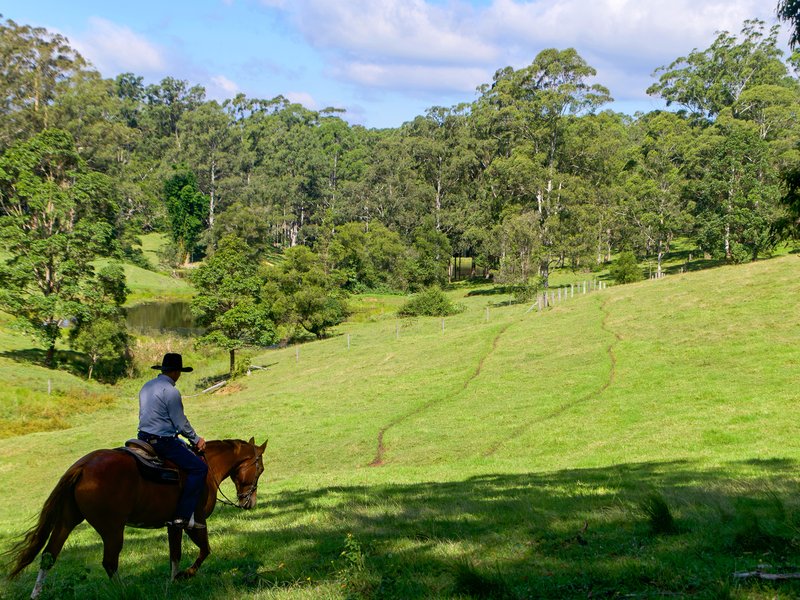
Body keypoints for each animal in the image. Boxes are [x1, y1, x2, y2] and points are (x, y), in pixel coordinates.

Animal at [6, 436, 268, 600]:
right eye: (260, 468)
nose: (250, 502)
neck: (207, 467)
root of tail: (83, 466)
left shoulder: (174, 525)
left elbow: (175, 555)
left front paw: (173, 582)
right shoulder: (196, 522)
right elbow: (204, 551)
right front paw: (185, 575)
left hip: (67, 521)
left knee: (49, 556)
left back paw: (36, 594)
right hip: (112, 529)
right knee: (110, 562)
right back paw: (122, 591)